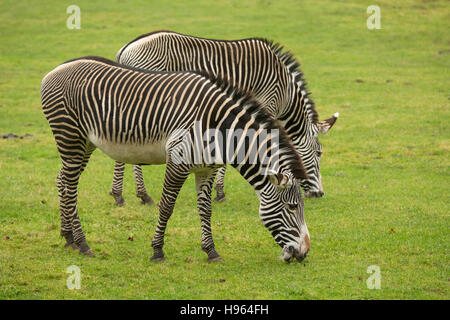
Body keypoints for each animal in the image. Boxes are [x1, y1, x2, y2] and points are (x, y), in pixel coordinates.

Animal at [40, 57, 312, 262]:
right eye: (292, 207)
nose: (303, 253)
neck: (217, 126)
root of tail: (54, 70)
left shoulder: (206, 169)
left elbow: (206, 209)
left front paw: (211, 251)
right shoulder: (177, 161)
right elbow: (167, 206)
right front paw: (157, 250)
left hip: (84, 144)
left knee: (62, 180)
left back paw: (68, 237)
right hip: (70, 137)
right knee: (70, 187)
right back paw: (83, 244)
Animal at [110, 30, 338, 205]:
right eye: (319, 153)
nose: (319, 194)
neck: (286, 92)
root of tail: (126, 49)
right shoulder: (266, 106)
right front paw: (220, 191)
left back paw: (127, 193)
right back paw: (132, 195)